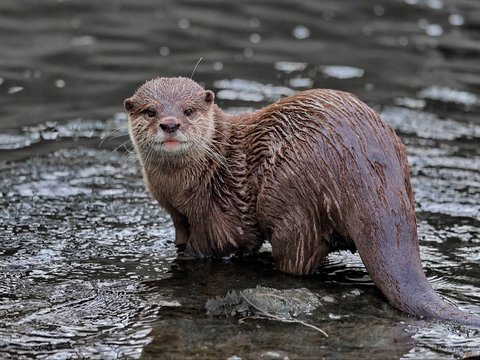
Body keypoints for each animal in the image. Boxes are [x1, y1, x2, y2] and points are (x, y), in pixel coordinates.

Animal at [124, 76, 480, 326]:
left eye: (188, 110)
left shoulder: (218, 213)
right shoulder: (177, 215)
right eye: (151, 111)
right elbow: (181, 237)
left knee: (297, 258)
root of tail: (369, 173)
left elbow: (219, 245)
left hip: (291, 199)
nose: (170, 124)